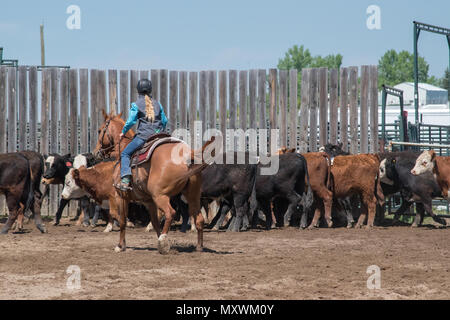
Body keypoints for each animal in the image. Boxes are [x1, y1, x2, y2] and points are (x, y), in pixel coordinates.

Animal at [92, 110, 214, 255]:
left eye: (100, 130)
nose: (95, 152)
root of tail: (186, 154)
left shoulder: (121, 196)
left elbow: (122, 221)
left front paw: (120, 246)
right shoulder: (149, 201)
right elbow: (155, 222)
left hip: (160, 196)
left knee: (170, 213)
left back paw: (162, 241)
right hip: (192, 195)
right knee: (199, 219)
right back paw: (198, 246)